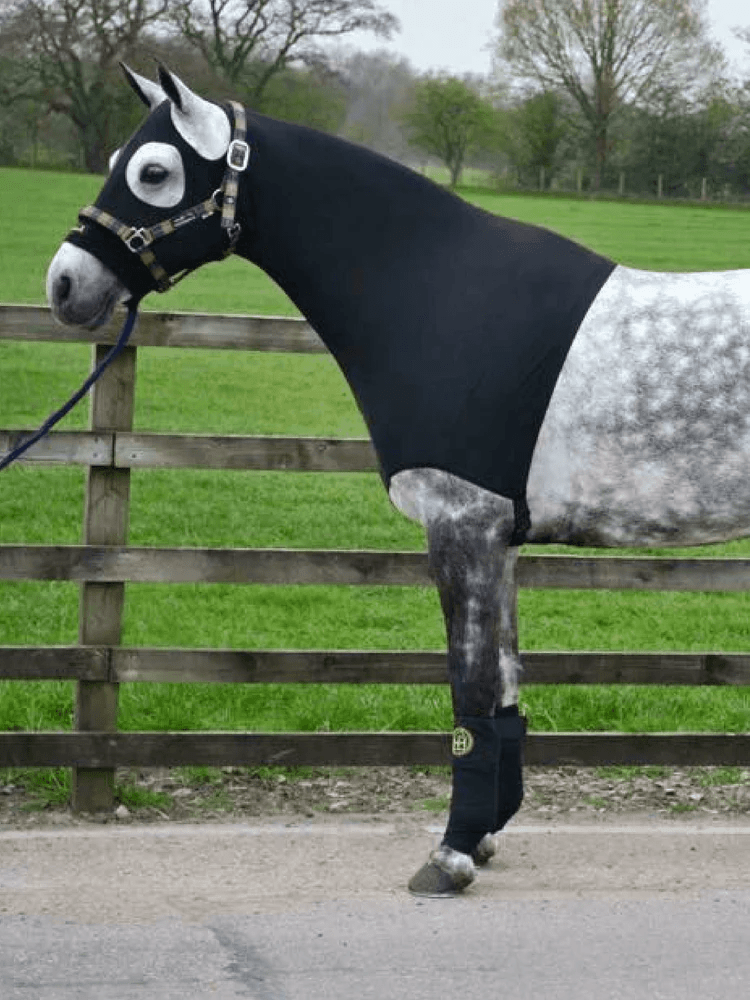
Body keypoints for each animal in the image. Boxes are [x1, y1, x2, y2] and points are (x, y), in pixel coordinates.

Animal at [46, 65, 750, 897]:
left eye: (154, 172)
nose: (65, 284)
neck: (437, 294)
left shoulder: (461, 524)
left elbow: (471, 696)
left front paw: (449, 856)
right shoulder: (497, 539)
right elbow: (504, 693)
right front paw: (484, 835)